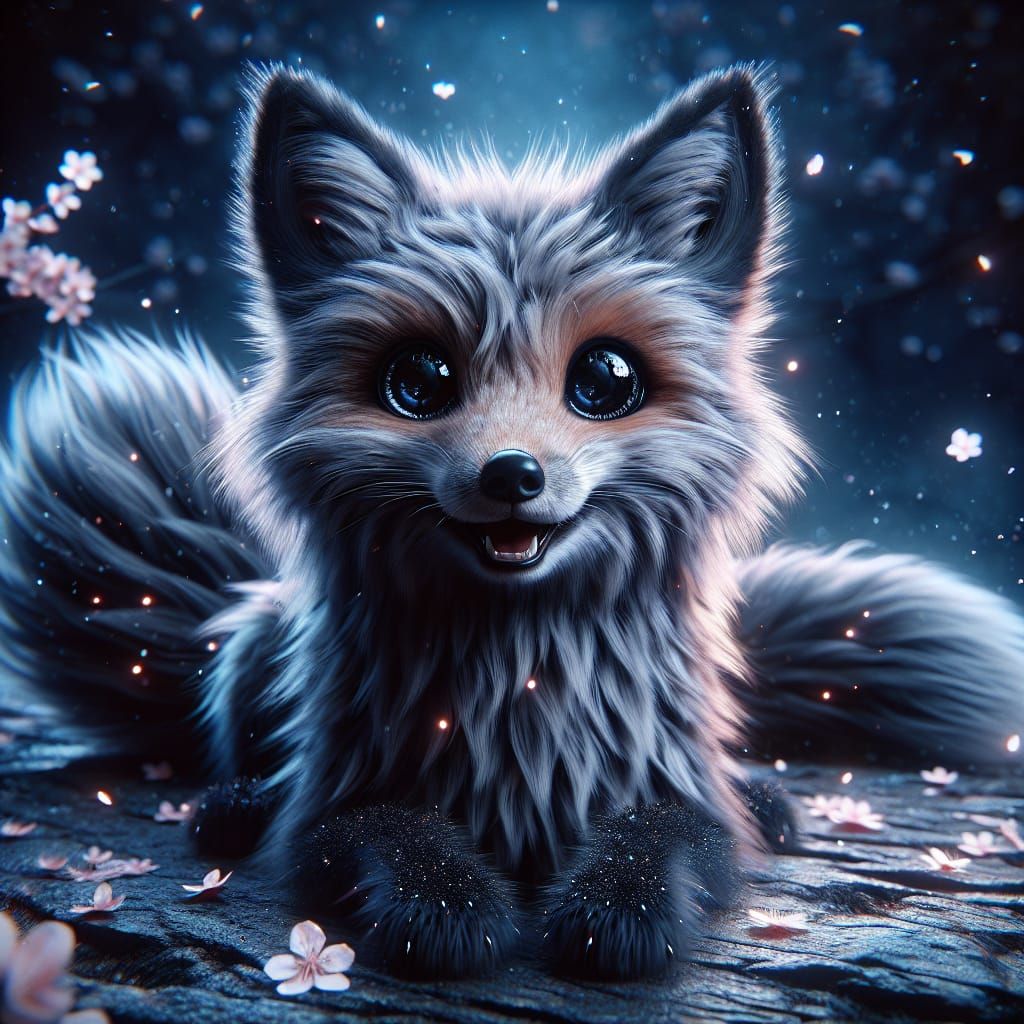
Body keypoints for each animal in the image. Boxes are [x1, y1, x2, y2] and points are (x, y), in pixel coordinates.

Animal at [2, 63, 1023, 982]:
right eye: (419, 381)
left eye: (604, 379)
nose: (513, 475)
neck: (522, 678)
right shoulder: (335, 807)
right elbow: (391, 835)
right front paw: (452, 913)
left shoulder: (673, 791)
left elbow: (667, 836)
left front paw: (616, 918)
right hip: (258, 647)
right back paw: (233, 805)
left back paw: (770, 799)